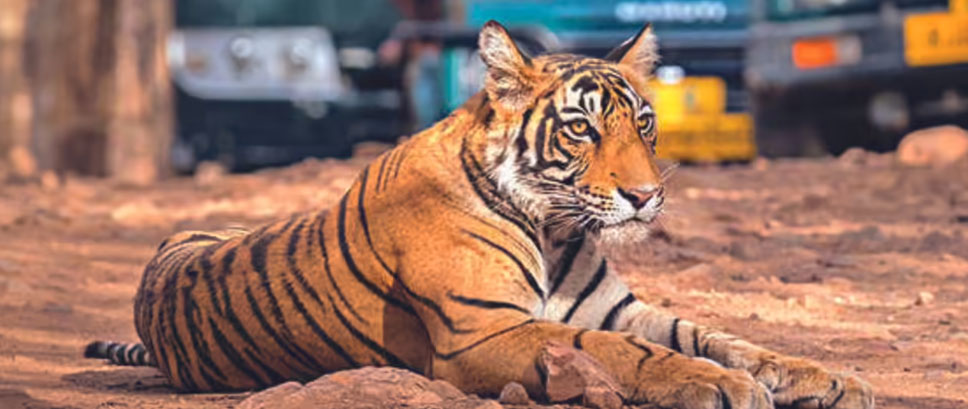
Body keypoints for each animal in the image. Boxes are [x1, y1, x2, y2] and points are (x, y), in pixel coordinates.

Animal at [85, 21, 873, 409]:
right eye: (583, 129)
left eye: (645, 124)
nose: (646, 196)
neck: (555, 228)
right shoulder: (483, 332)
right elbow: (626, 353)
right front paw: (719, 385)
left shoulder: (620, 308)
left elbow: (722, 337)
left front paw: (830, 377)